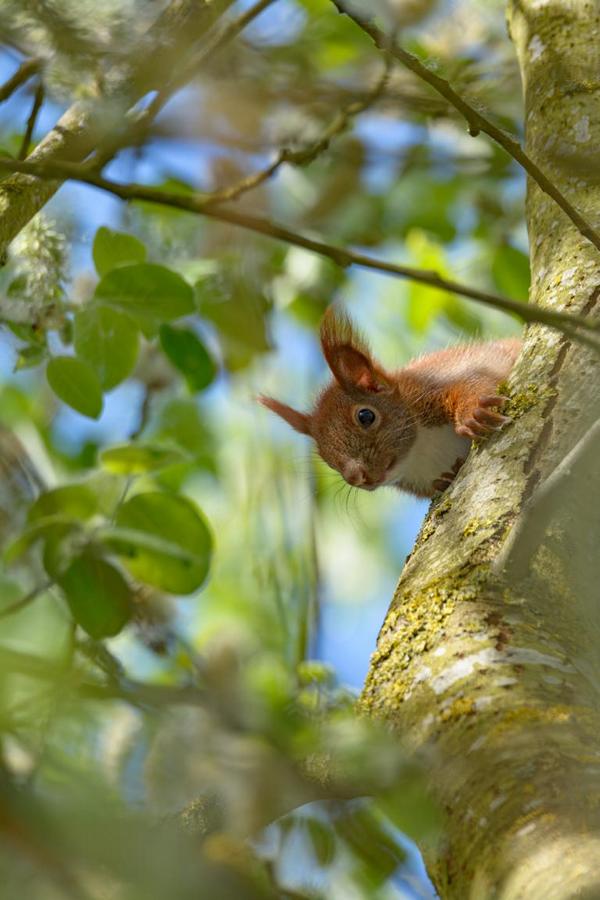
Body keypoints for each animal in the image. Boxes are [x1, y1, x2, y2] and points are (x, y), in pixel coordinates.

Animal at [260, 309, 521, 498]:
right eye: (324, 456)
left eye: (366, 416)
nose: (356, 477)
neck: (420, 450)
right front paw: (446, 478)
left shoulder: (440, 377)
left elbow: (475, 379)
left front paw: (473, 412)